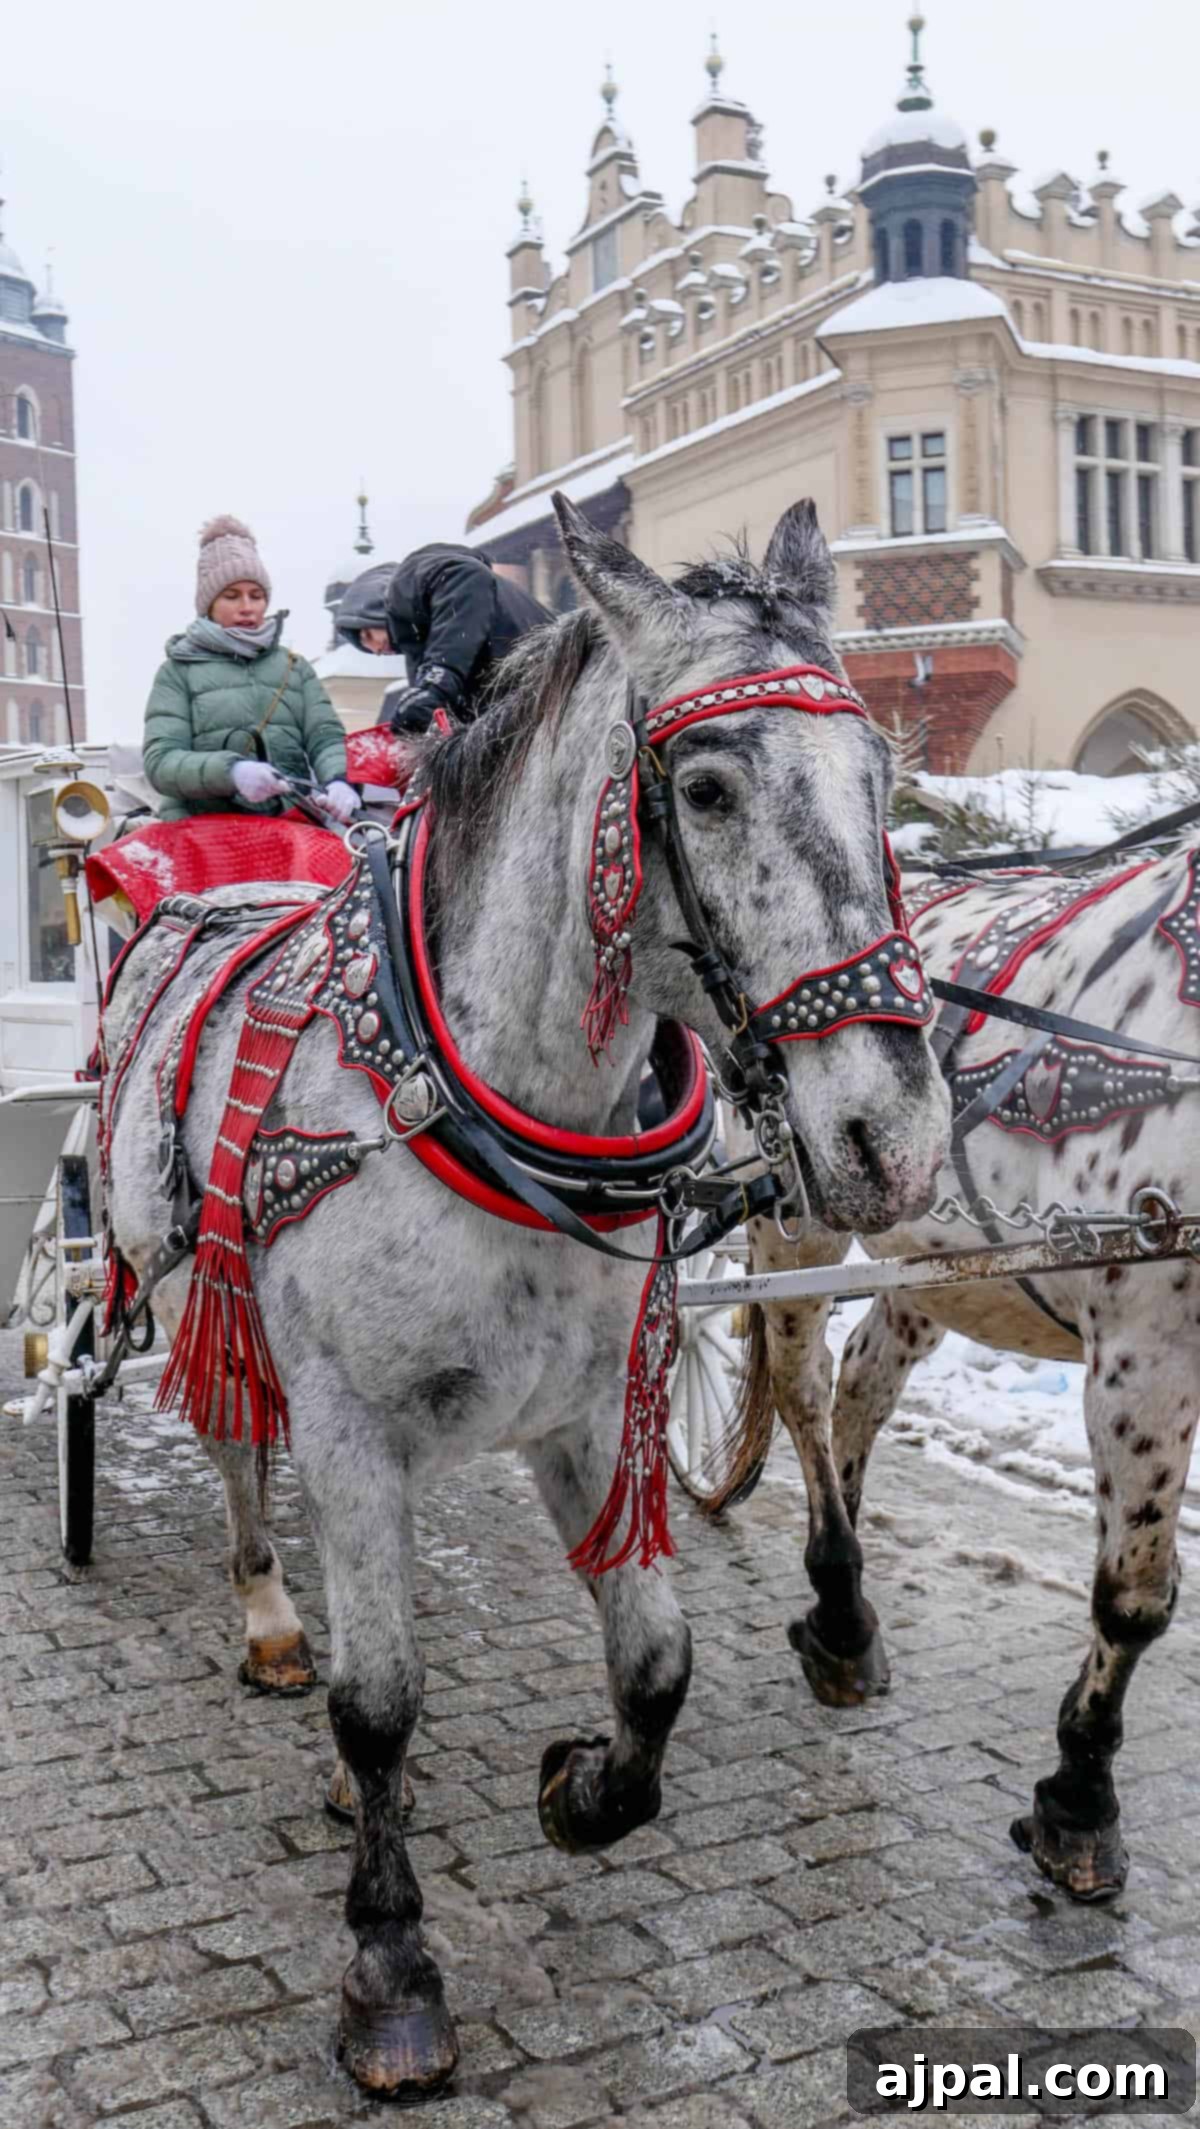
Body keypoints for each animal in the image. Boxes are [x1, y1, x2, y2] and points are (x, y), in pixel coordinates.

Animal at [101, 494, 951, 2099]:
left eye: (882, 774)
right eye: (703, 786)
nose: (895, 1139)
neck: (487, 1094)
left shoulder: (585, 1414)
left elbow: (658, 1662)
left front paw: (582, 1787)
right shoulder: (352, 1422)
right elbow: (381, 1697)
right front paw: (390, 1965)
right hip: (198, 1295)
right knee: (241, 1458)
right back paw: (269, 1619)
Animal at [726, 847, 1200, 1906]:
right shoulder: (1146, 1345)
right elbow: (1134, 1596)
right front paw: (1080, 1797)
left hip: (936, 1264)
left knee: (860, 1386)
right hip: (792, 1212)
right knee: (803, 1387)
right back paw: (840, 1607)